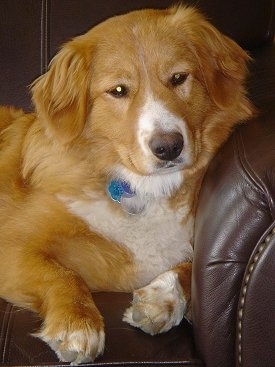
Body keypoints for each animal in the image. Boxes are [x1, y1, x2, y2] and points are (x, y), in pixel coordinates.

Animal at [0, 5, 254, 366]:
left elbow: (193, 268)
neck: (140, 189)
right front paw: (77, 325)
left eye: (178, 78)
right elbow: (61, 275)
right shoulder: (13, 243)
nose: (168, 147)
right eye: (119, 91)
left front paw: (161, 299)